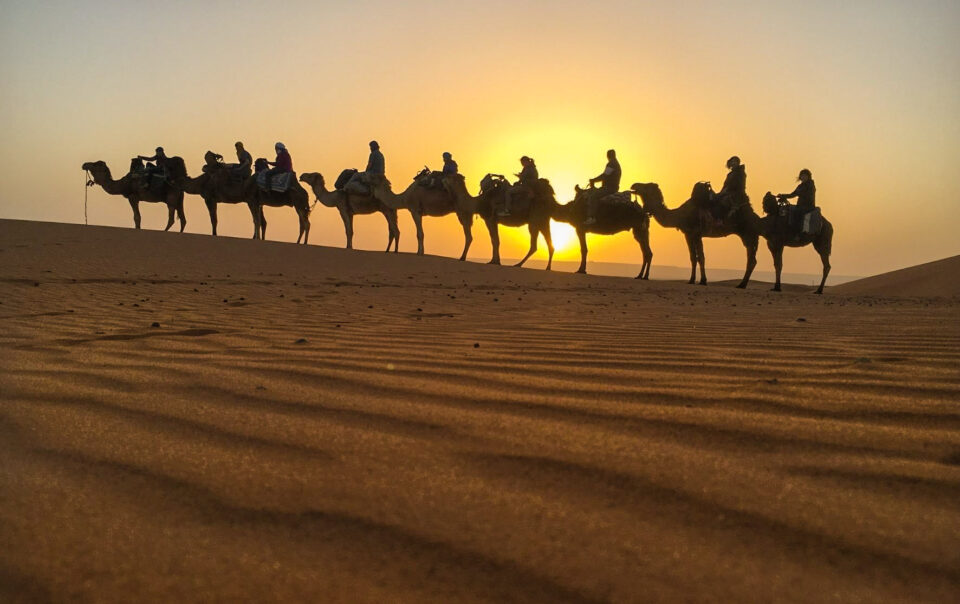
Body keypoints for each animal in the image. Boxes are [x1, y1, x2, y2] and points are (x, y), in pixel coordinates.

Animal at [632, 180, 760, 286]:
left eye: (646, 186)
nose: (634, 185)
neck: (680, 215)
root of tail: (755, 216)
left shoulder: (697, 234)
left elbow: (701, 257)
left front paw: (703, 281)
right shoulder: (688, 234)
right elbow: (693, 257)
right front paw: (692, 280)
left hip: (748, 233)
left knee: (751, 259)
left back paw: (742, 284)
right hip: (747, 235)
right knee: (751, 258)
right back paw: (743, 283)